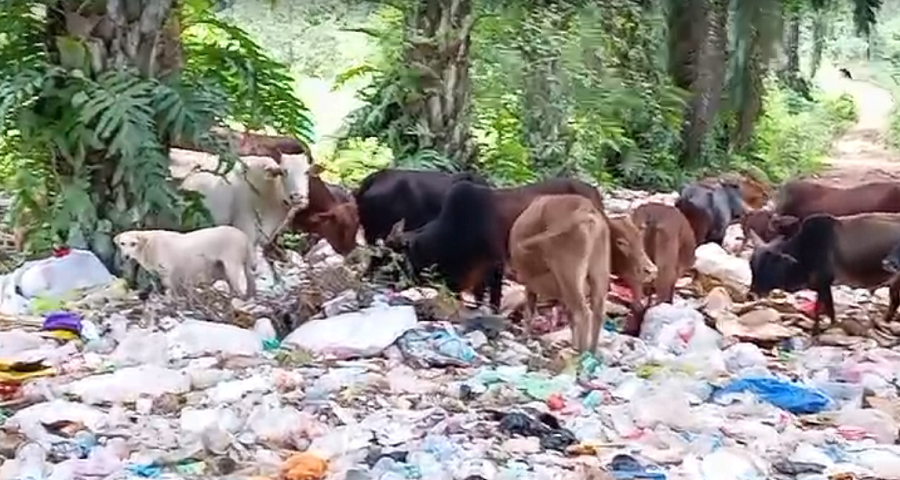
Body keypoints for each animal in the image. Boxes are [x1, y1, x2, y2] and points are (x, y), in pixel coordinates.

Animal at [114, 225, 256, 296]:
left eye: (133, 244)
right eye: (122, 243)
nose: (126, 256)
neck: (149, 245)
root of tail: (244, 235)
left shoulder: (168, 273)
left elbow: (171, 290)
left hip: (231, 266)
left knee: (238, 288)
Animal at [748, 212, 900, 336]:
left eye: (771, 264)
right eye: (752, 265)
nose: (751, 295)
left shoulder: (823, 282)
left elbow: (819, 309)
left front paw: (815, 333)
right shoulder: (823, 286)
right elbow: (829, 308)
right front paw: (831, 325)